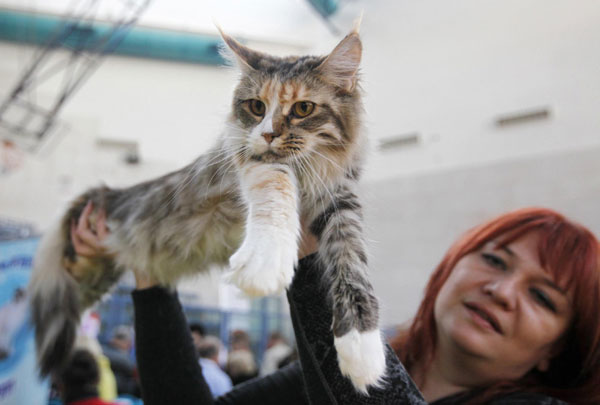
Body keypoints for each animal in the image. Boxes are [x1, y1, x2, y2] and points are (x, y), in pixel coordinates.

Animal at [28, 26, 386, 392]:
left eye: (303, 108)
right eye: (256, 106)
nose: (268, 134)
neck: (311, 169)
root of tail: (108, 193)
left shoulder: (339, 197)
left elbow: (351, 258)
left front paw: (362, 348)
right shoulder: (250, 156)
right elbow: (276, 189)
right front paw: (265, 261)